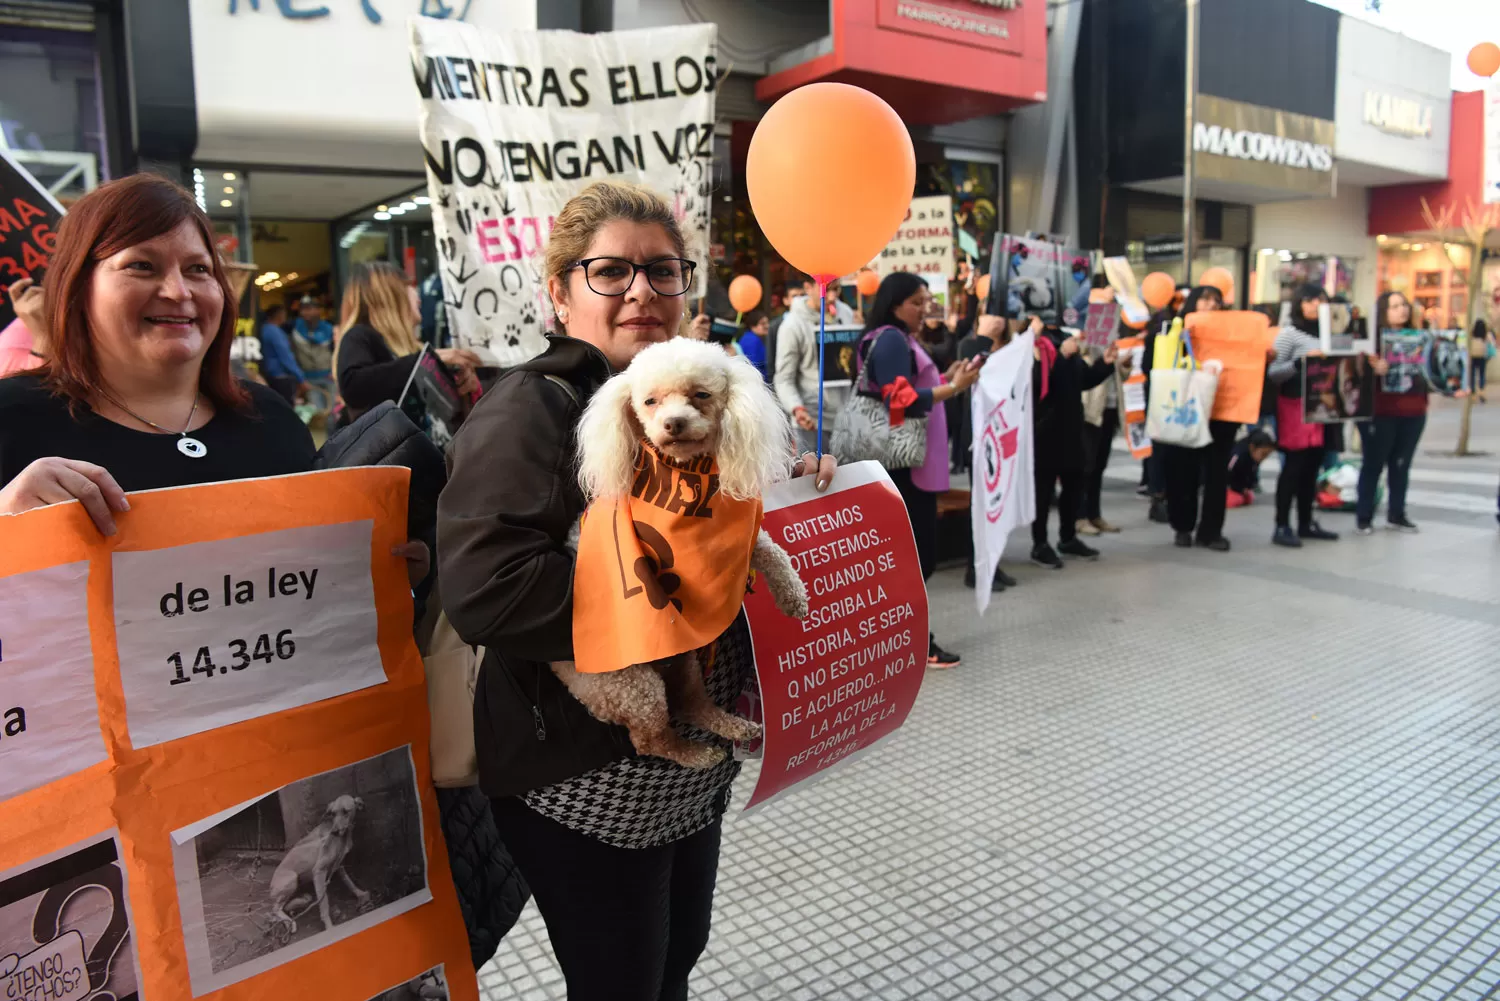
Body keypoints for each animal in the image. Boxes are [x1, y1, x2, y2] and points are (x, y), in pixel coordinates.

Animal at [555, 336, 810, 768]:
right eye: (650, 402)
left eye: (701, 395)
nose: (673, 423)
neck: (687, 473)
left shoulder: (748, 541)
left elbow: (773, 553)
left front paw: (793, 596)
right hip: (633, 685)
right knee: (650, 737)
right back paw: (695, 754)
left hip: (682, 659)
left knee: (691, 703)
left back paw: (734, 726)